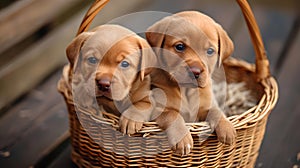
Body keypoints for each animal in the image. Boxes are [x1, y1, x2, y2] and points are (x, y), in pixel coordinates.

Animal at [147, 10, 237, 155]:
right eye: (179, 46)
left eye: (210, 51)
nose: (195, 71)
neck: (186, 91)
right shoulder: (158, 109)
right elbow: (172, 114)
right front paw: (182, 138)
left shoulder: (207, 106)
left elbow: (216, 111)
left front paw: (227, 127)